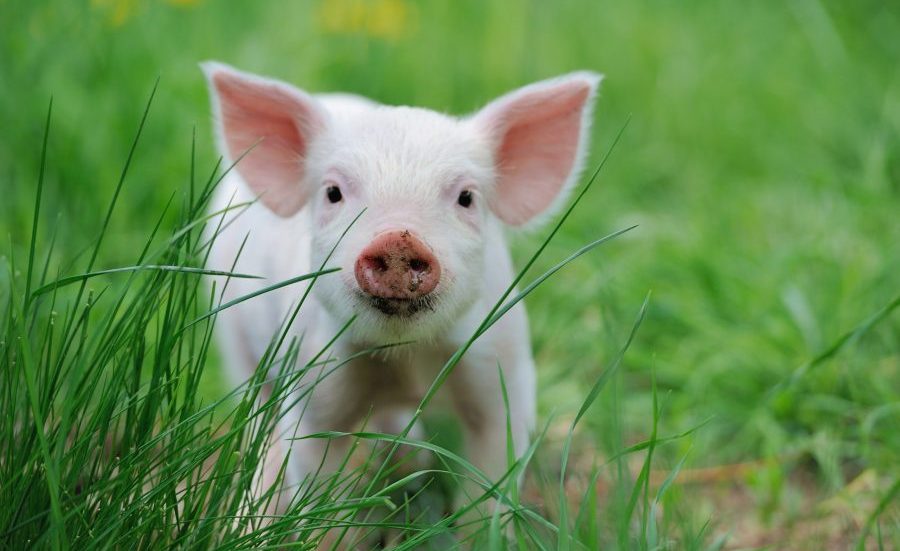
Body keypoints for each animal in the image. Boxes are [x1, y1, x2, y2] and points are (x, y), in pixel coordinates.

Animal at [201, 61, 601, 527]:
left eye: (466, 197)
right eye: (333, 192)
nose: (398, 239)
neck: (405, 358)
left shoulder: (505, 371)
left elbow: (489, 483)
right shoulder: (311, 381)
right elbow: (316, 481)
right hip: (233, 336)